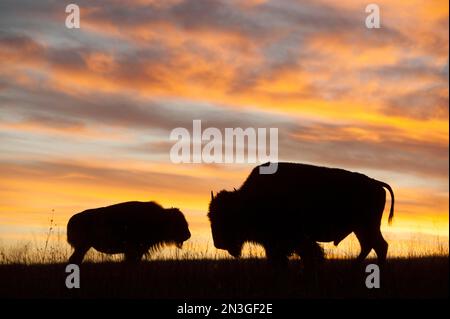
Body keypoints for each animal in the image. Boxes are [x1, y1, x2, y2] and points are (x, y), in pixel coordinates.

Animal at [207, 162, 394, 264]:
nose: (219, 243)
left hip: (366, 226)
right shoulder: (273, 243)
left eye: (226, 216)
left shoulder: (295, 239)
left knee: (379, 246)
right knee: (371, 246)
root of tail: (376, 183)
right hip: (361, 228)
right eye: (211, 217)